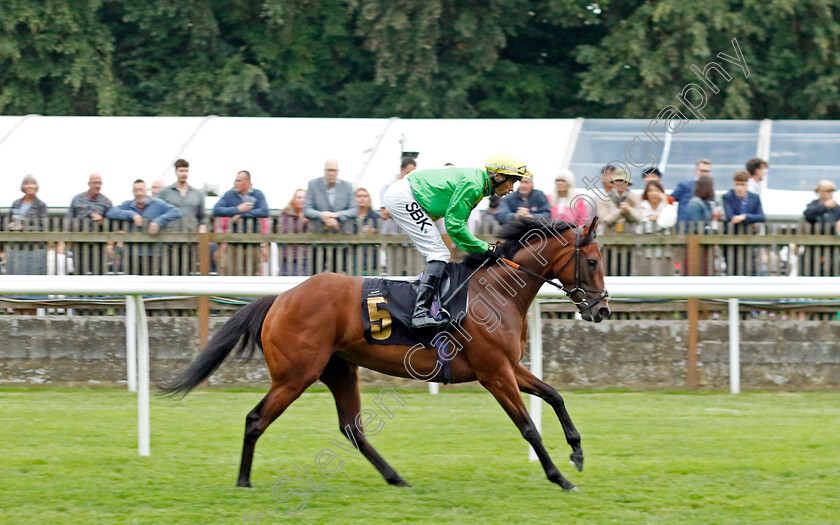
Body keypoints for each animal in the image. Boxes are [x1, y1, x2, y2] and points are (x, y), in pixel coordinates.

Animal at [161, 215, 612, 490]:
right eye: (591, 261)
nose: (601, 309)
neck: (496, 292)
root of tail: (281, 298)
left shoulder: (508, 366)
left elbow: (554, 395)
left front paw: (577, 453)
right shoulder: (494, 373)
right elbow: (528, 427)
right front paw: (559, 476)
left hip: (339, 370)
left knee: (352, 428)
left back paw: (396, 478)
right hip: (296, 375)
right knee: (257, 419)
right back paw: (243, 481)